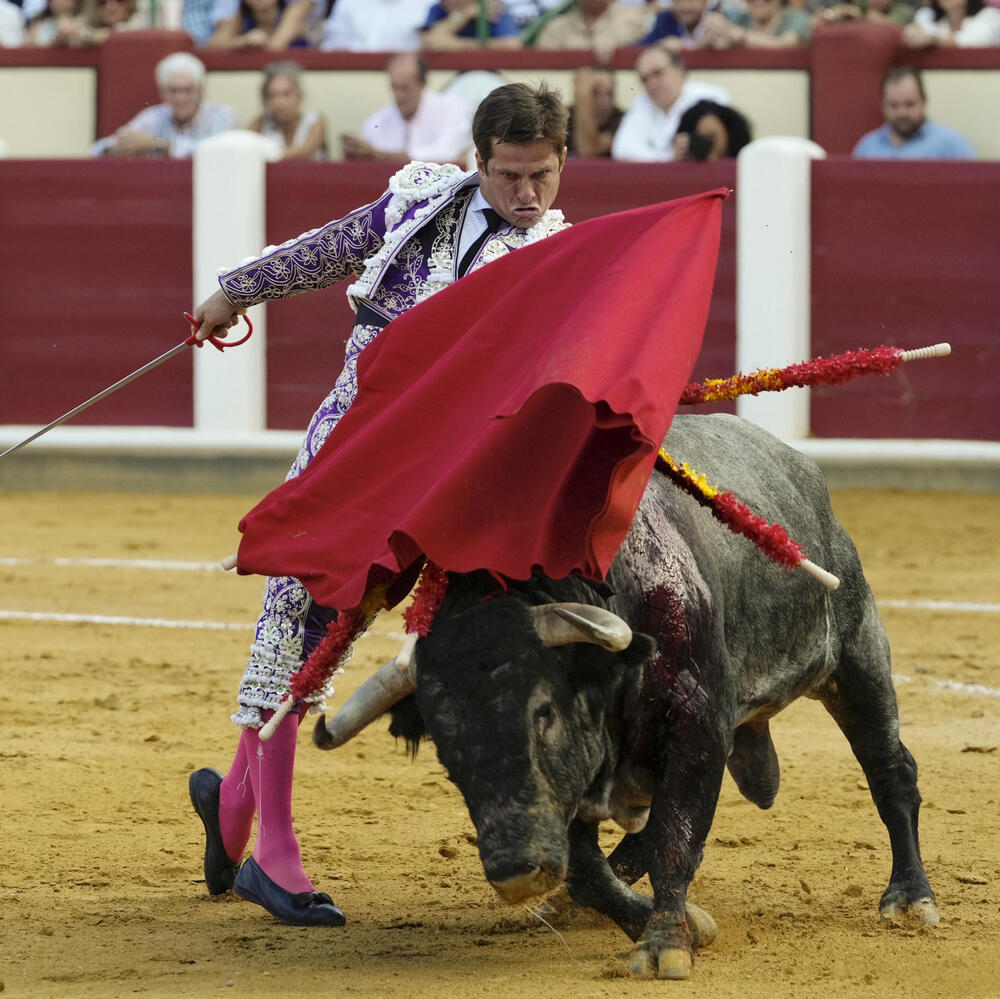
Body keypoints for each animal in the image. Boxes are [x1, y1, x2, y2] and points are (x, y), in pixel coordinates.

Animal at [318, 410, 936, 980]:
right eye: (446, 753)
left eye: (544, 713)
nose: (515, 873)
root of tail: (798, 466)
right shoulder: (578, 780)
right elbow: (589, 868)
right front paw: (671, 923)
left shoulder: (697, 728)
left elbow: (674, 838)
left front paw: (665, 944)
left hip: (858, 654)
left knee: (889, 769)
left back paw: (910, 898)